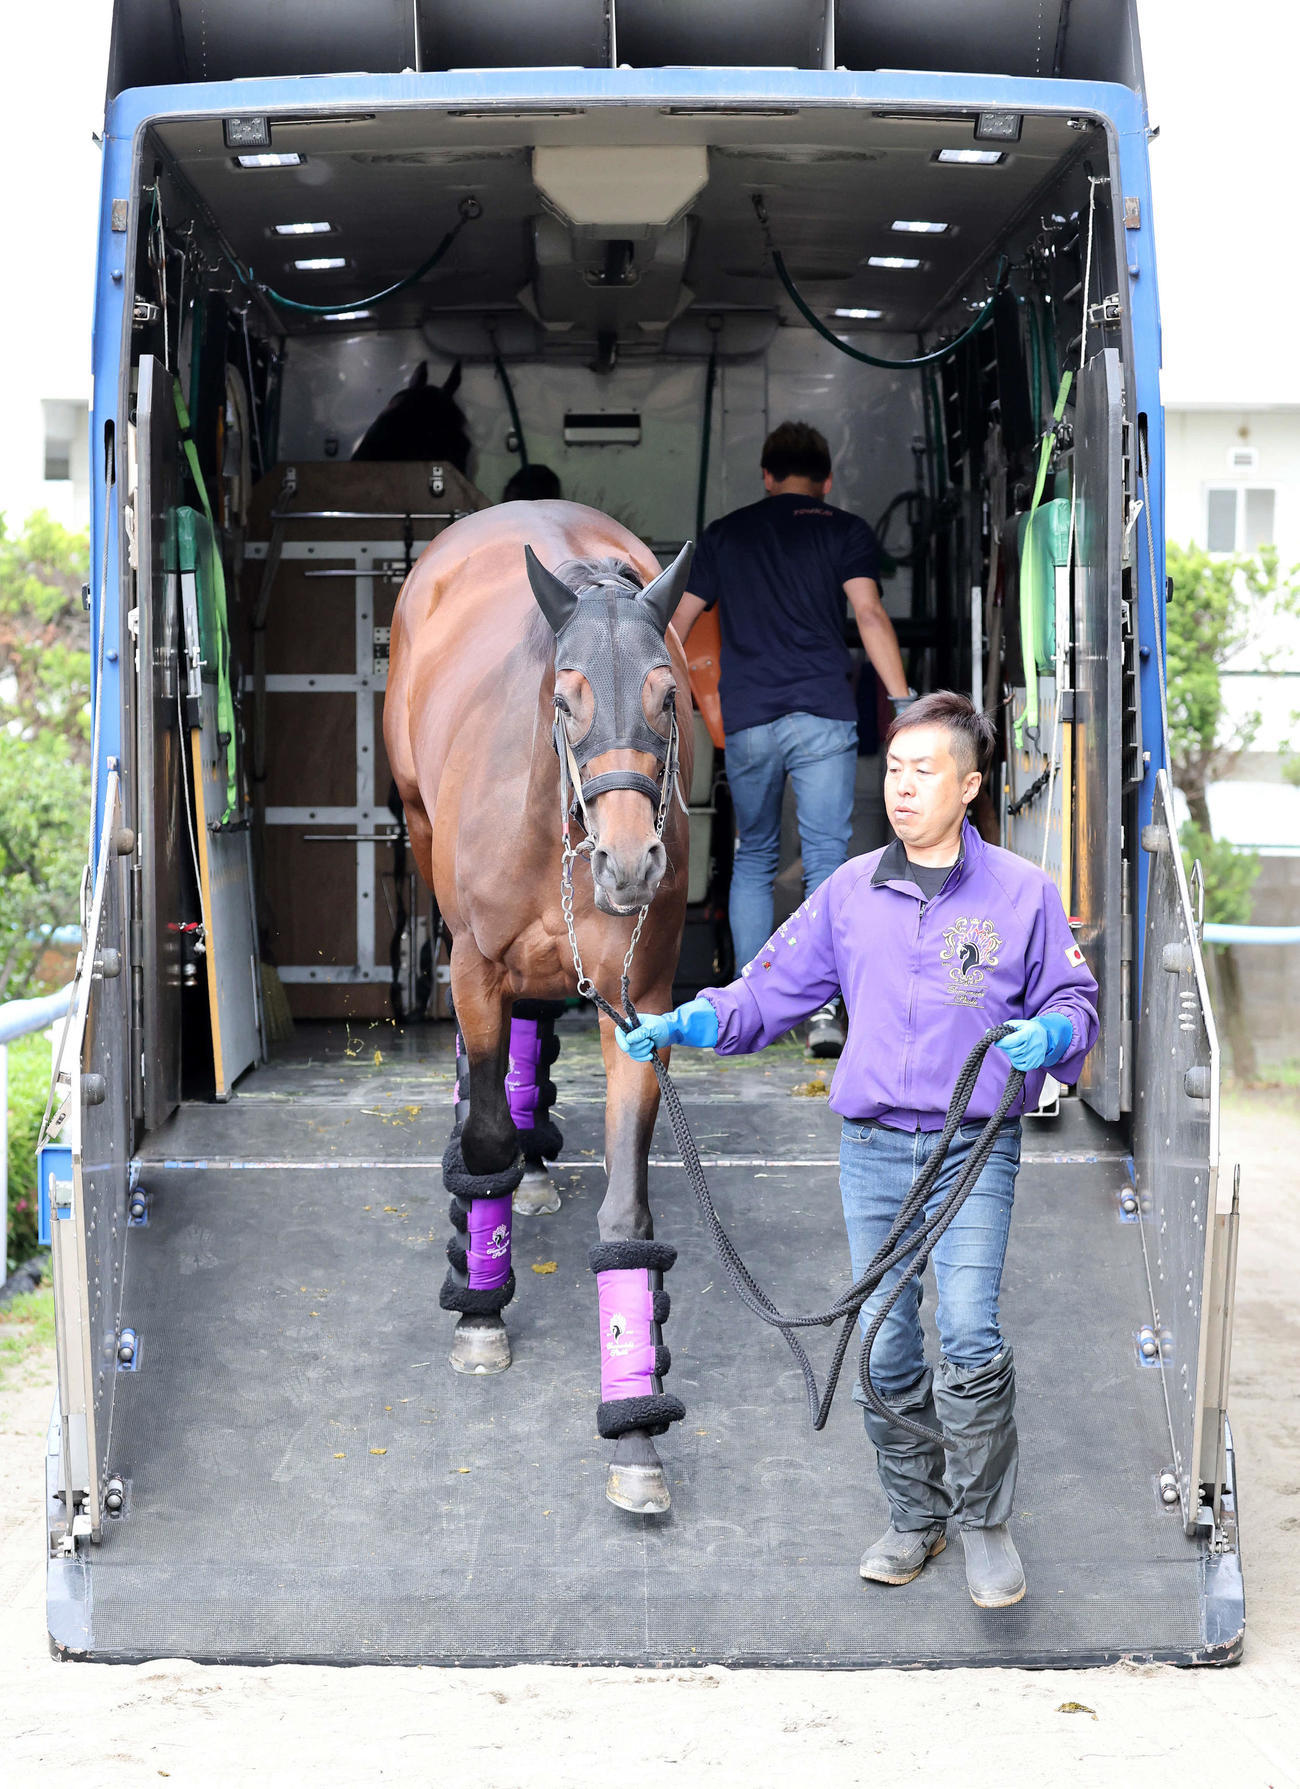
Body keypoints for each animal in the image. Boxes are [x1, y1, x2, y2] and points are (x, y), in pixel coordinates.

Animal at [384, 499, 694, 1514]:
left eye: (668, 694)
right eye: (566, 699)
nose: (629, 864)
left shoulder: (639, 1007)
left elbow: (627, 1219)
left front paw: (635, 1430)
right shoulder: (475, 965)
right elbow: (481, 1130)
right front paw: (481, 1308)